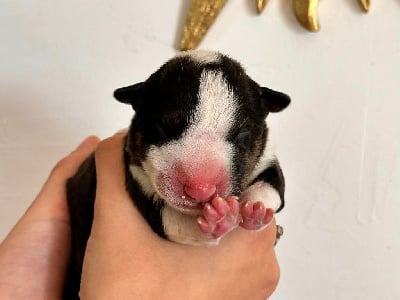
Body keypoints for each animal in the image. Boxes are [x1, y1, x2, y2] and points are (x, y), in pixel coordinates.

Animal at [65, 50, 290, 298]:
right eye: (163, 128)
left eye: (242, 135)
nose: (201, 190)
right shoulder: (136, 177)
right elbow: (174, 222)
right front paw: (218, 219)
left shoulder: (267, 156)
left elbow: (273, 183)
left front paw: (255, 209)